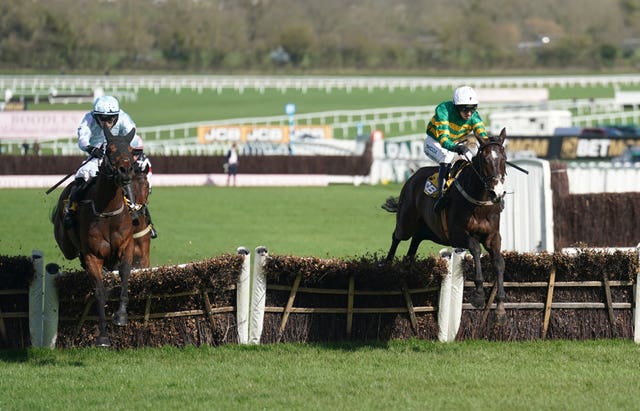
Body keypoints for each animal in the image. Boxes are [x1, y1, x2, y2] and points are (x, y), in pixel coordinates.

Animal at [53, 126, 137, 348]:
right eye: (110, 149)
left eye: (131, 150)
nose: (125, 171)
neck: (107, 212)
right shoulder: (93, 255)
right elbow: (99, 292)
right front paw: (103, 337)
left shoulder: (126, 245)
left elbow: (125, 273)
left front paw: (121, 315)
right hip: (67, 246)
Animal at [382, 129, 508, 322]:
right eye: (485, 159)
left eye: (504, 158)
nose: (497, 193)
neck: (479, 204)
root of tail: (413, 176)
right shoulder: (457, 234)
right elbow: (475, 249)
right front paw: (479, 295)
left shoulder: (493, 236)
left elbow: (499, 262)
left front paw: (500, 307)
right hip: (406, 222)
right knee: (397, 236)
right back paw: (387, 265)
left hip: (430, 231)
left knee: (415, 241)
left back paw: (408, 267)